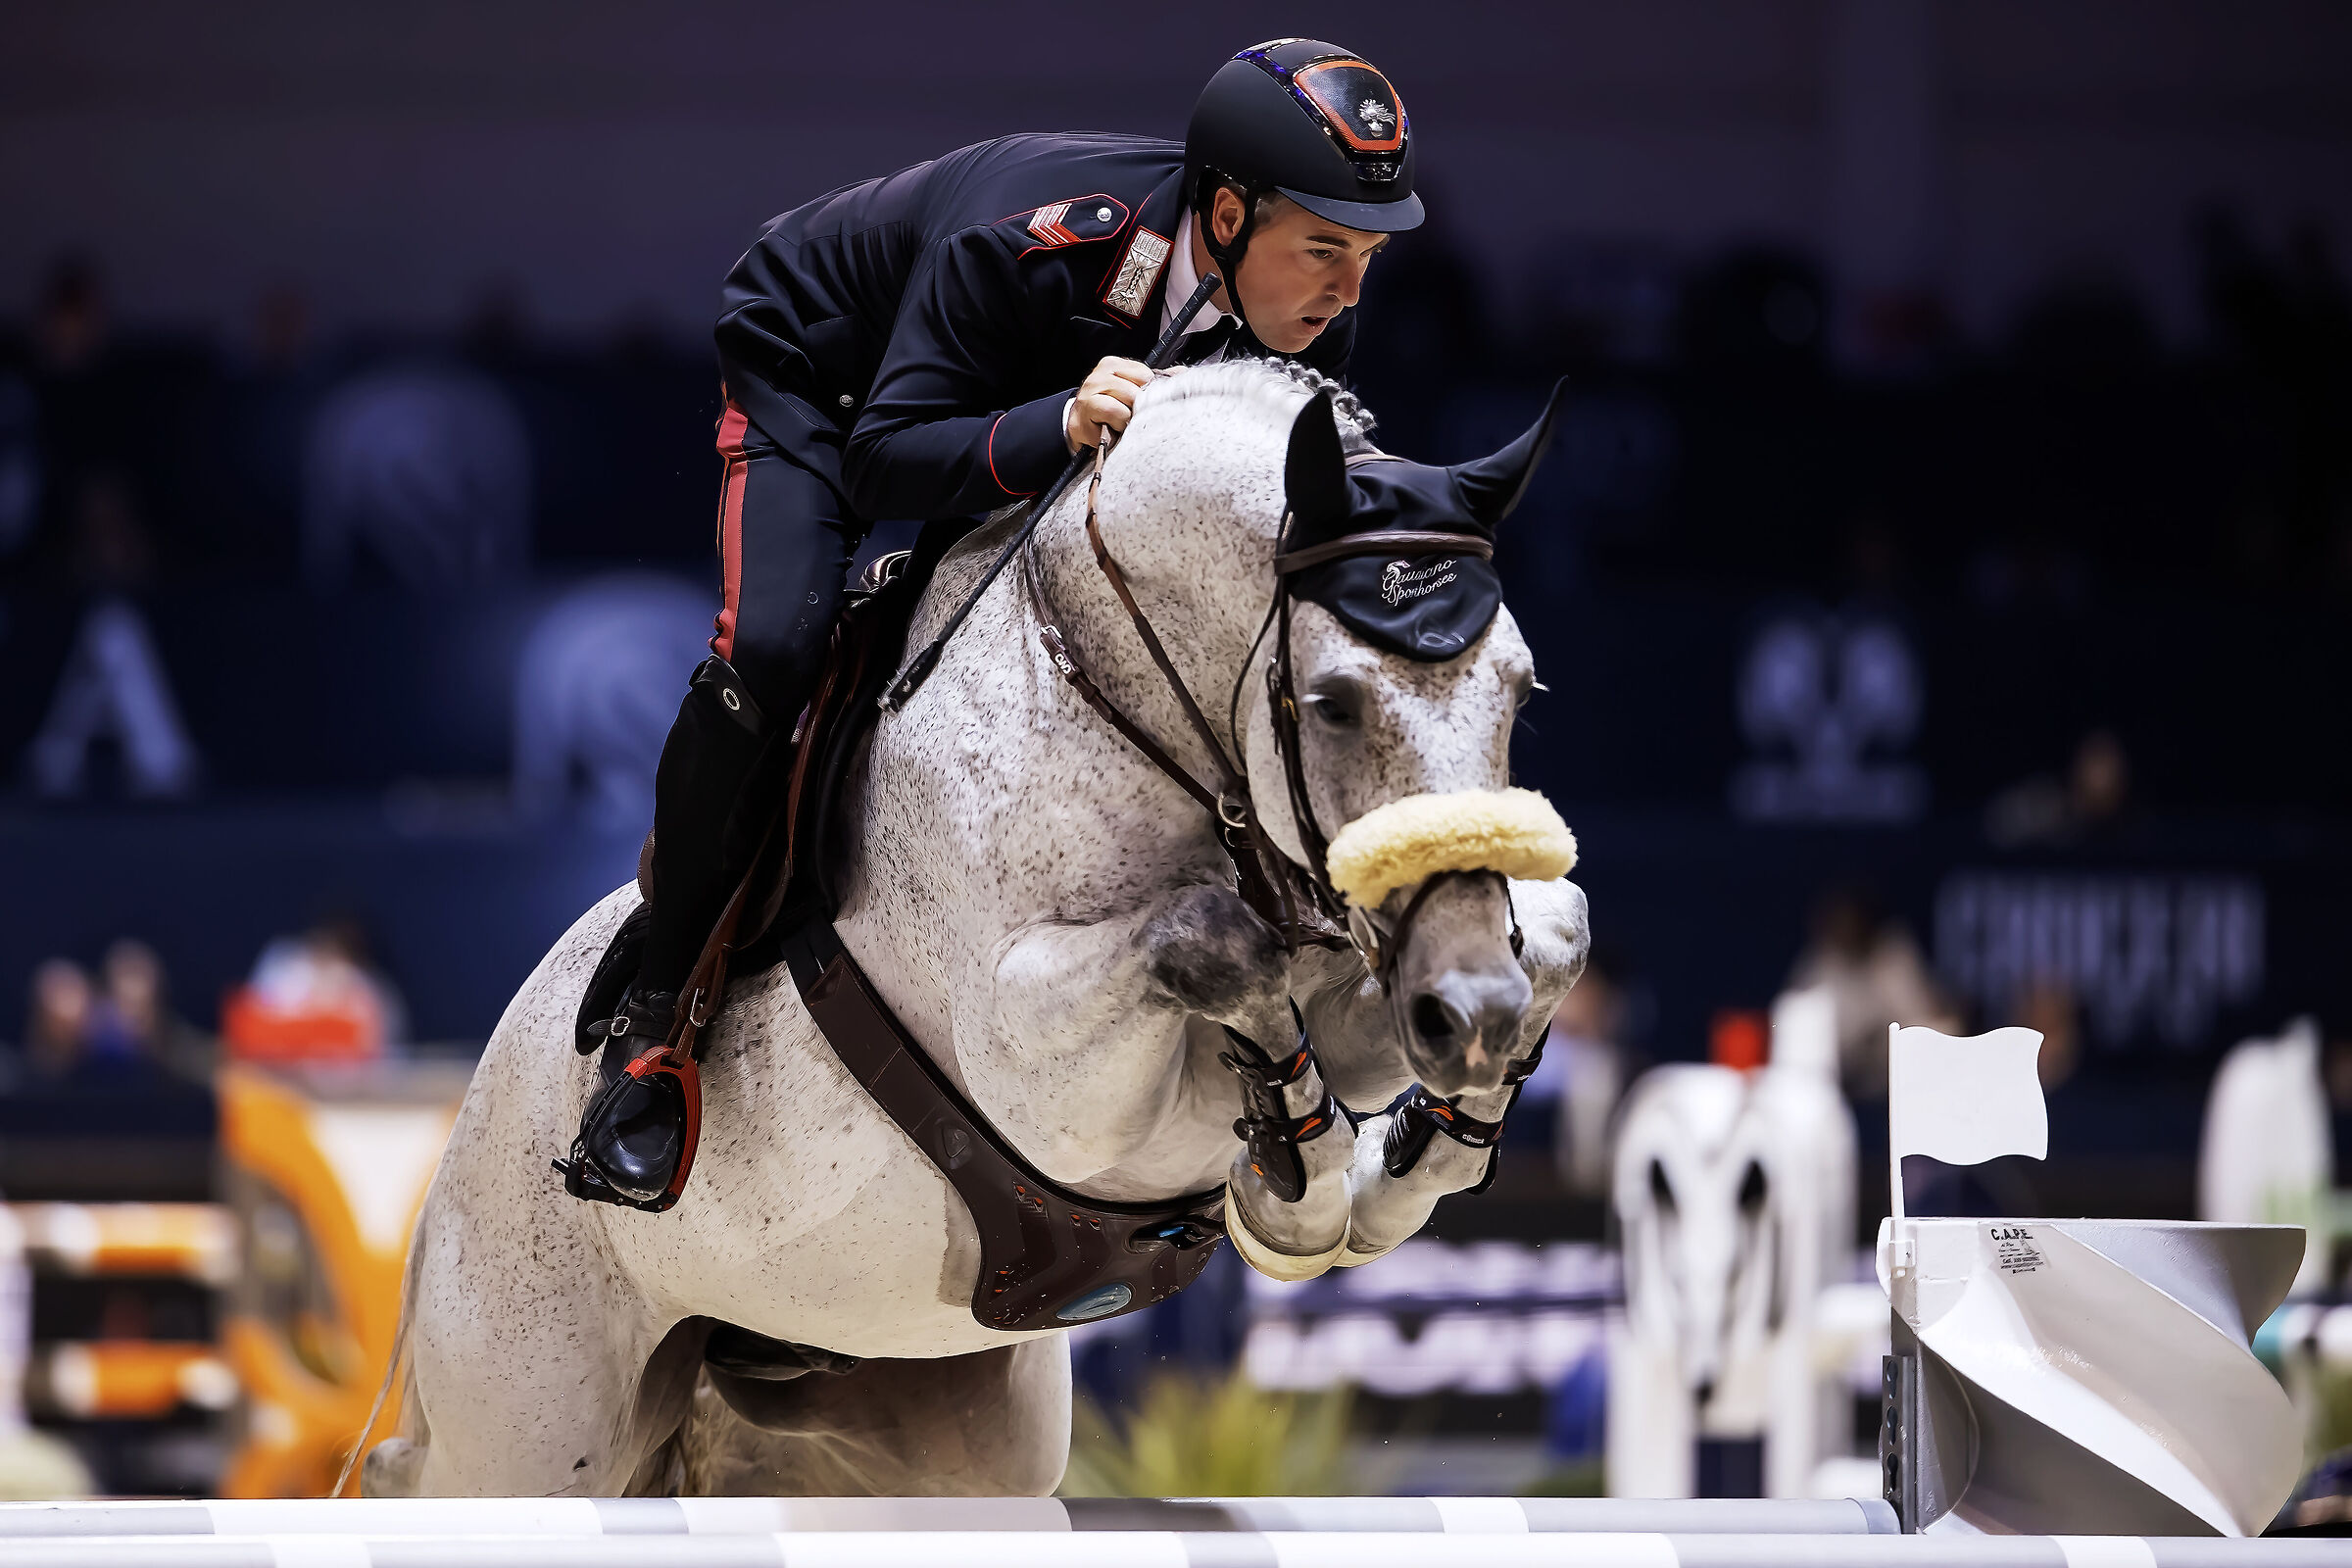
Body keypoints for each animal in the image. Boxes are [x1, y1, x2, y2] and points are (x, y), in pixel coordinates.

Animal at [366, 358, 1592, 1499]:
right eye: (1335, 702)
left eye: (1523, 692)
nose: (1469, 1016)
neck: (1125, 705)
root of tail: (456, 1151)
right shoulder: (1048, 1073)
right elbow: (1213, 938)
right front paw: (1299, 1192)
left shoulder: (1365, 980)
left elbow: (1556, 929)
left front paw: (1403, 1163)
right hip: (528, 1423)